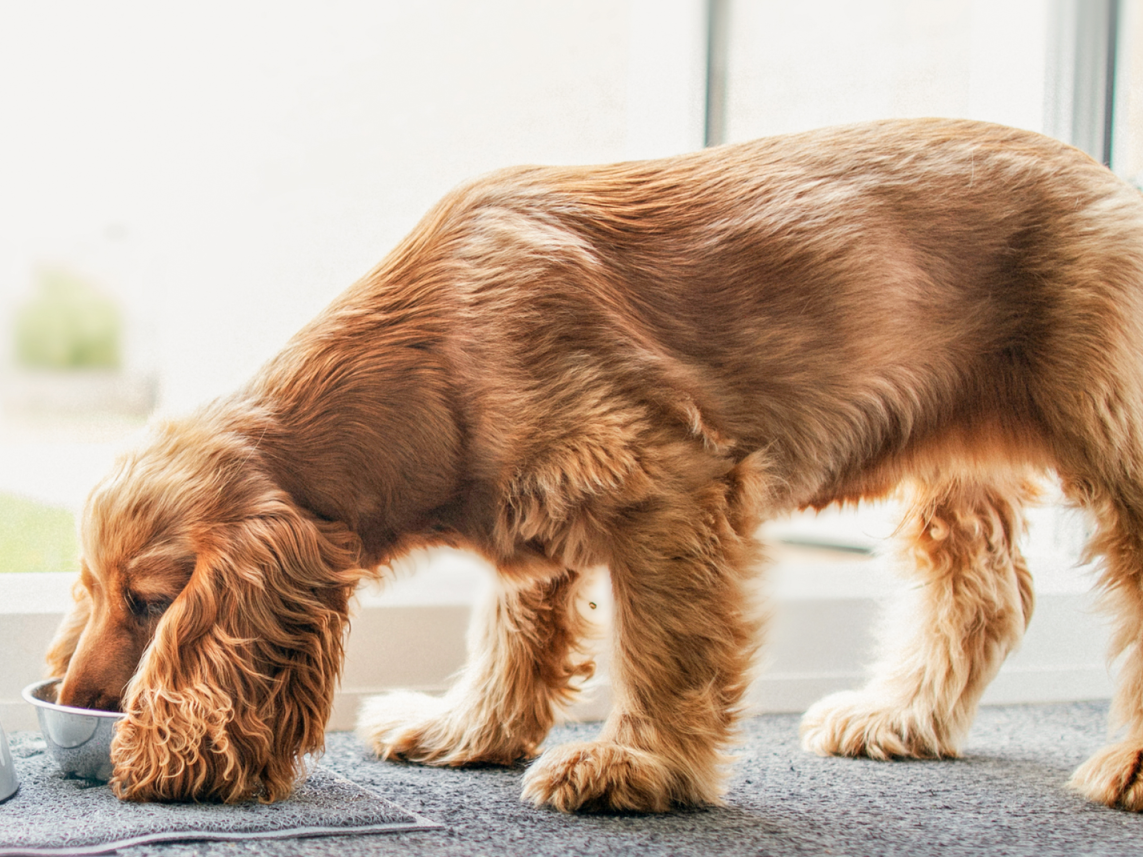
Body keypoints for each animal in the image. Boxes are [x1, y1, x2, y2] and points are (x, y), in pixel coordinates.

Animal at [49, 119, 1143, 813]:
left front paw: (639, 765)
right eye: (93, 592)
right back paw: (902, 715)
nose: (76, 699)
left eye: (152, 602)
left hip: (1116, 439)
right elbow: (513, 628)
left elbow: (665, 648)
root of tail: (1108, 178)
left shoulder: (673, 484)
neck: (430, 352)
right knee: (983, 589)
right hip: (955, 457)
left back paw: (1126, 763)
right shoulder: (535, 506)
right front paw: (468, 727)